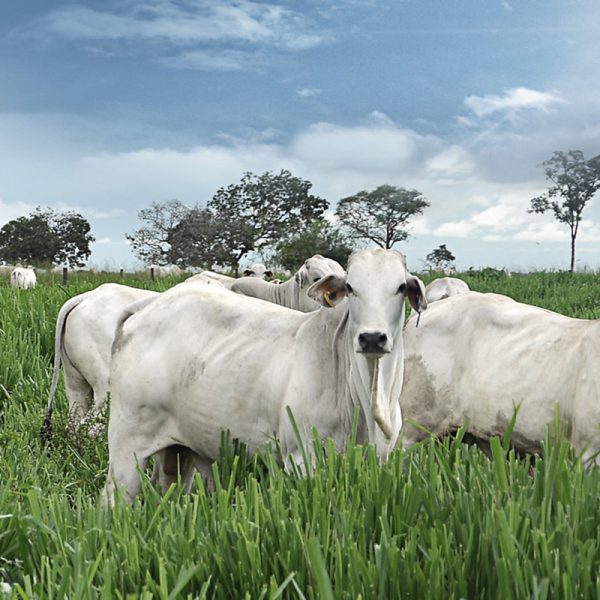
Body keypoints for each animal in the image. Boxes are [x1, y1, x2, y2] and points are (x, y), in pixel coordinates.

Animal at [103, 246, 426, 504]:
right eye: (350, 286)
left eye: (400, 287)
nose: (372, 338)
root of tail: (148, 305)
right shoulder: (302, 458)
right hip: (126, 445)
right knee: (114, 497)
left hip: (181, 452)